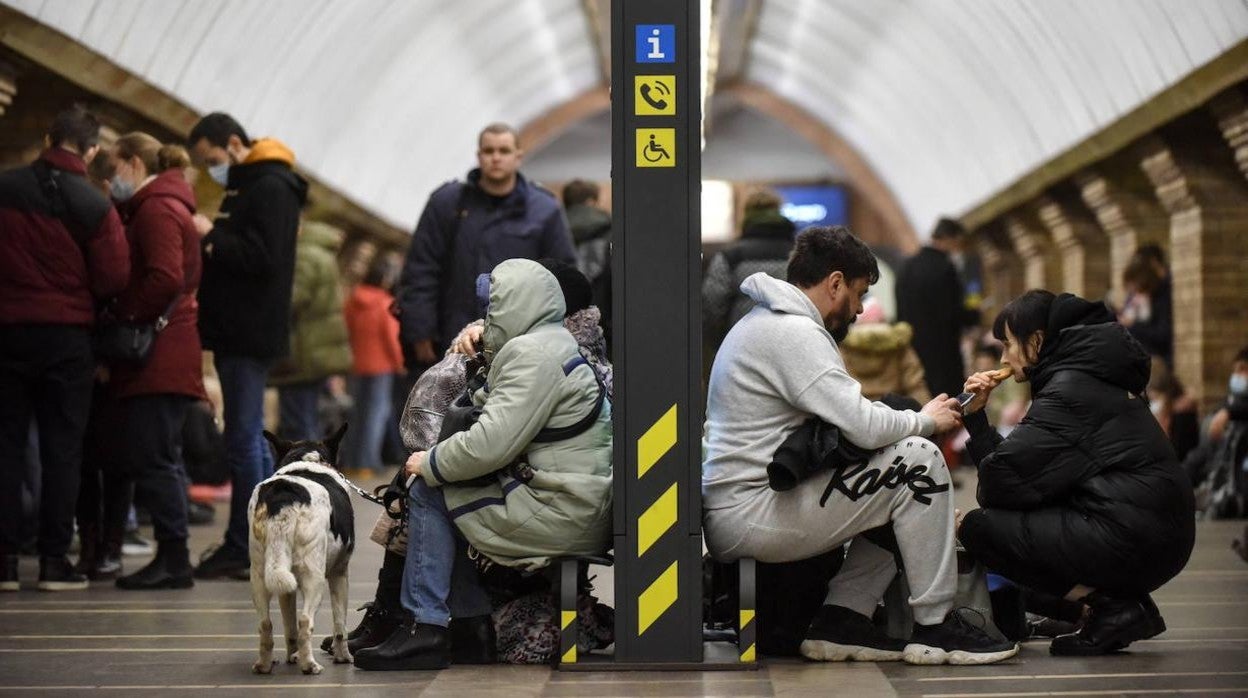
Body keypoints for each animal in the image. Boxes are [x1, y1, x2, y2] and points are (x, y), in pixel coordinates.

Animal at [249, 424, 354, 674]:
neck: (307, 460)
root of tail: (283, 495)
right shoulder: (340, 574)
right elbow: (340, 625)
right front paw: (343, 657)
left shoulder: (286, 590)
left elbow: (289, 628)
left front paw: (293, 655)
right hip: (314, 577)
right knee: (306, 621)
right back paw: (310, 665)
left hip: (260, 575)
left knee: (266, 624)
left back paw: (265, 664)